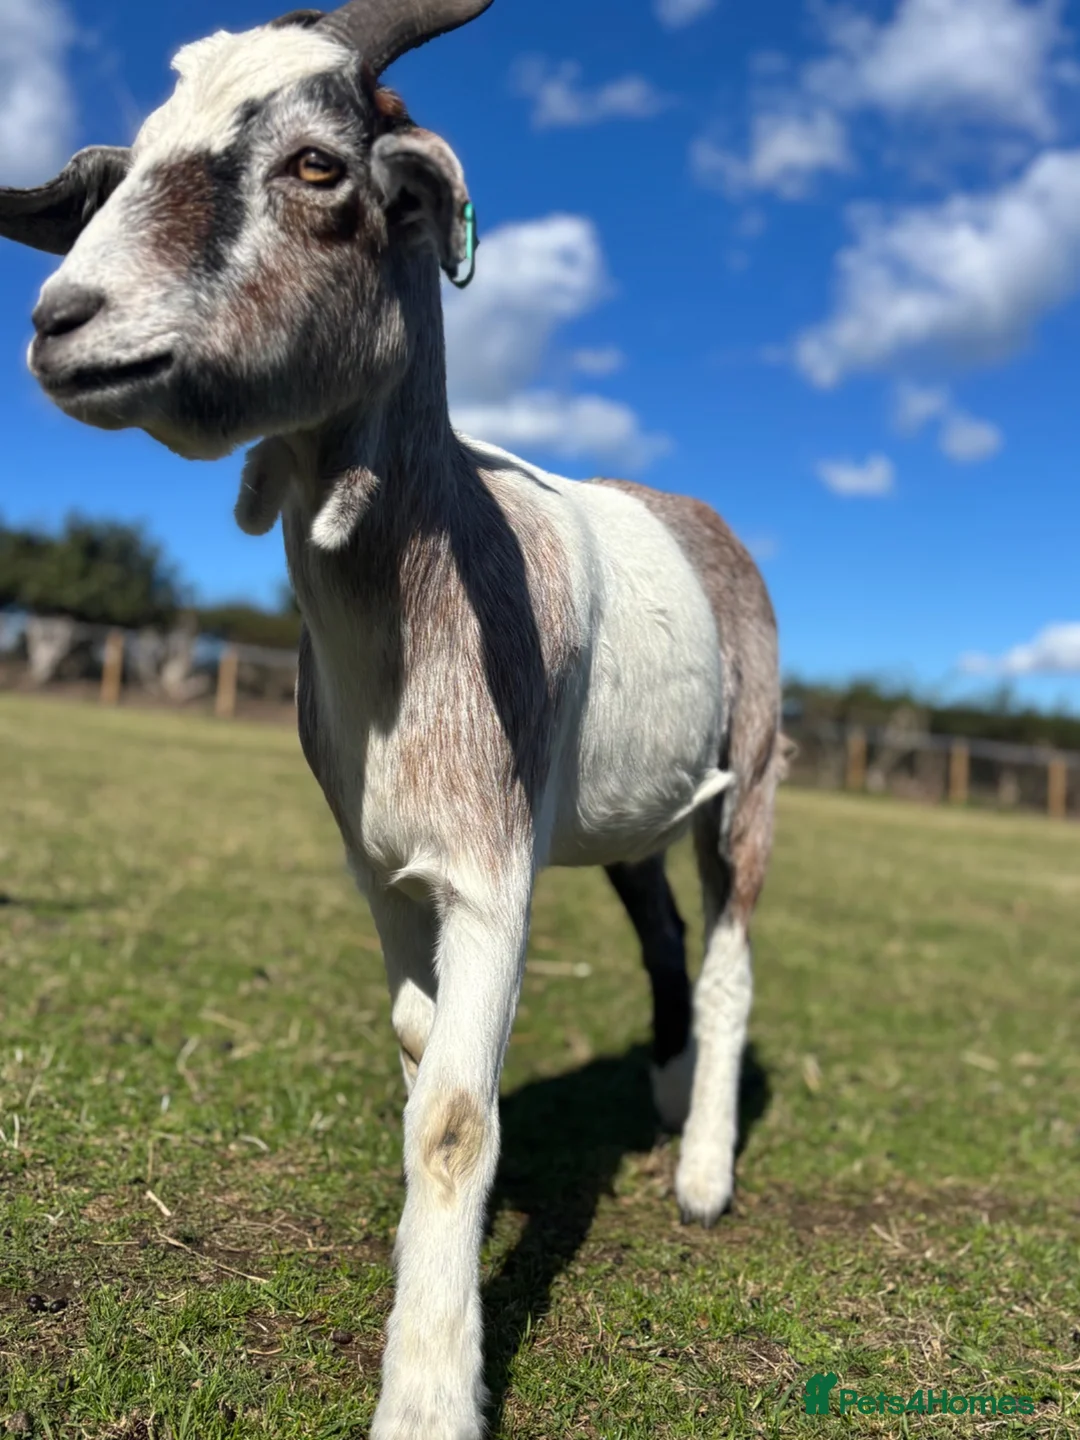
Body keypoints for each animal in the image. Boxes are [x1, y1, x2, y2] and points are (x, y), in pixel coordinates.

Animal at [0, 3, 784, 1435]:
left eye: (318, 165)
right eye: (128, 163)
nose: (63, 319)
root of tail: (702, 518)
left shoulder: (492, 866)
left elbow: (456, 1116)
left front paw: (426, 1391)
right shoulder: (377, 861)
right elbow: (422, 1055)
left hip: (749, 779)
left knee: (730, 952)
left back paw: (704, 1175)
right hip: (626, 814)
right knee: (658, 924)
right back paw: (661, 1088)